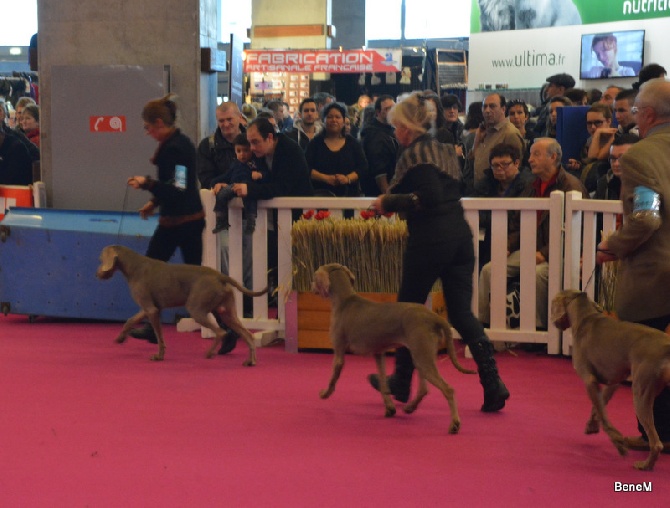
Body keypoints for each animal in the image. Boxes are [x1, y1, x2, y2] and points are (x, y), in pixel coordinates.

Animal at [96, 245, 268, 366]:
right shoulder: (149, 308)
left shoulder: (151, 310)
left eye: (100, 259)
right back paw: (250, 361)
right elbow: (130, 320)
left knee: (220, 332)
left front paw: (159, 356)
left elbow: (160, 337)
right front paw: (120, 338)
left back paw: (210, 353)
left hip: (196, 309)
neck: (134, 266)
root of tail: (220, 275)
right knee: (248, 334)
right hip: (226, 313)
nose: (97, 274)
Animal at [312, 262, 476, 432]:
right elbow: (384, 383)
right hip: (421, 356)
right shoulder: (378, 353)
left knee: (448, 389)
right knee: (424, 389)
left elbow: (333, 377)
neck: (345, 300)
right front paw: (390, 408)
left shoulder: (339, 352)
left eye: (313, 277)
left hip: (422, 356)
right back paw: (410, 407)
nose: (311, 287)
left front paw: (324, 394)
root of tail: (433, 316)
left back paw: (454, 424)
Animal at [552, 290, 670, 472]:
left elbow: (603, 415)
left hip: (641, 393)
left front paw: (618, 443)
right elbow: (599, 407)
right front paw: (592, 426)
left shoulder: (589, 379)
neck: (586, 316)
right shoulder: (614, 380)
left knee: (656, 443)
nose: (555, 323)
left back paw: (645, 465)